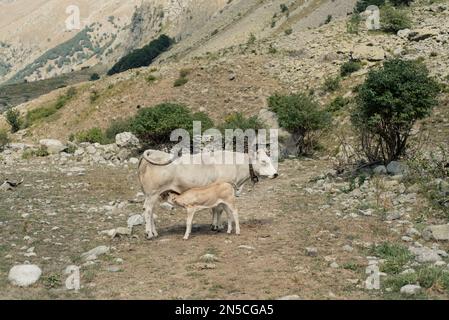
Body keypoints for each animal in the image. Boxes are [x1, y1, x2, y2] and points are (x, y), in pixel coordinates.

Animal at [138, 149, 276, 239]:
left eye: (270, 159)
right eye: (264, 161)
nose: (276, 174)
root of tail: (154, 152)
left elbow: (215, 208)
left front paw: (214, 224)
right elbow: (219, 209)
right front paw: (217, 226)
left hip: (153, 194)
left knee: (150, 211)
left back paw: (154, 232)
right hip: (152, 193)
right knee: (148, 210)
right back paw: (149, 234)